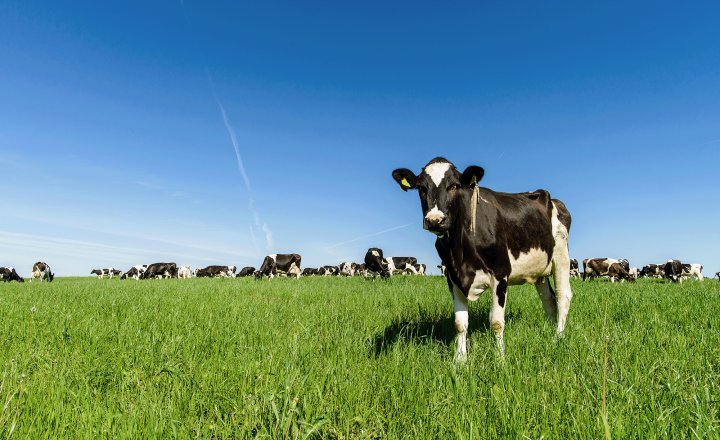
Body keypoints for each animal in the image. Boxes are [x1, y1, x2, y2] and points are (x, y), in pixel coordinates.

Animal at [394, 159, 572, 360]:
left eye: (454, 186)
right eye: (421, 188)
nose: (435, 220)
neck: (459, 250)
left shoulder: (500, 272)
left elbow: (496, 321)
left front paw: (501, 358)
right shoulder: (453, 277)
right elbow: (460, 323)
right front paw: (460, 360)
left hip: (561, 255)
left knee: (563, 296)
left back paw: (558, 337)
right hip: (540, 269)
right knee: (548, 300)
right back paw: (550, 331)